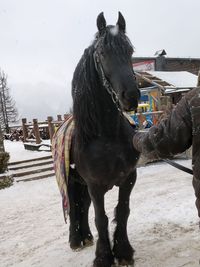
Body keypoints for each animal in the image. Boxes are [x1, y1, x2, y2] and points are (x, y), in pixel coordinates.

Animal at [68, 12, 140, 267]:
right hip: (72, 183)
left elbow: (123, 211)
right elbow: (101, 218)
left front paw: (123, 251)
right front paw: (103, 257)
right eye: (102, 53)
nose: (131, 96)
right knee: (74, 208)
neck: (106, 136)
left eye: (130, 50)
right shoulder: (95, 186)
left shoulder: (128, 178)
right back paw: (76, 240)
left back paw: (87, 236)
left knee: (83, 206)